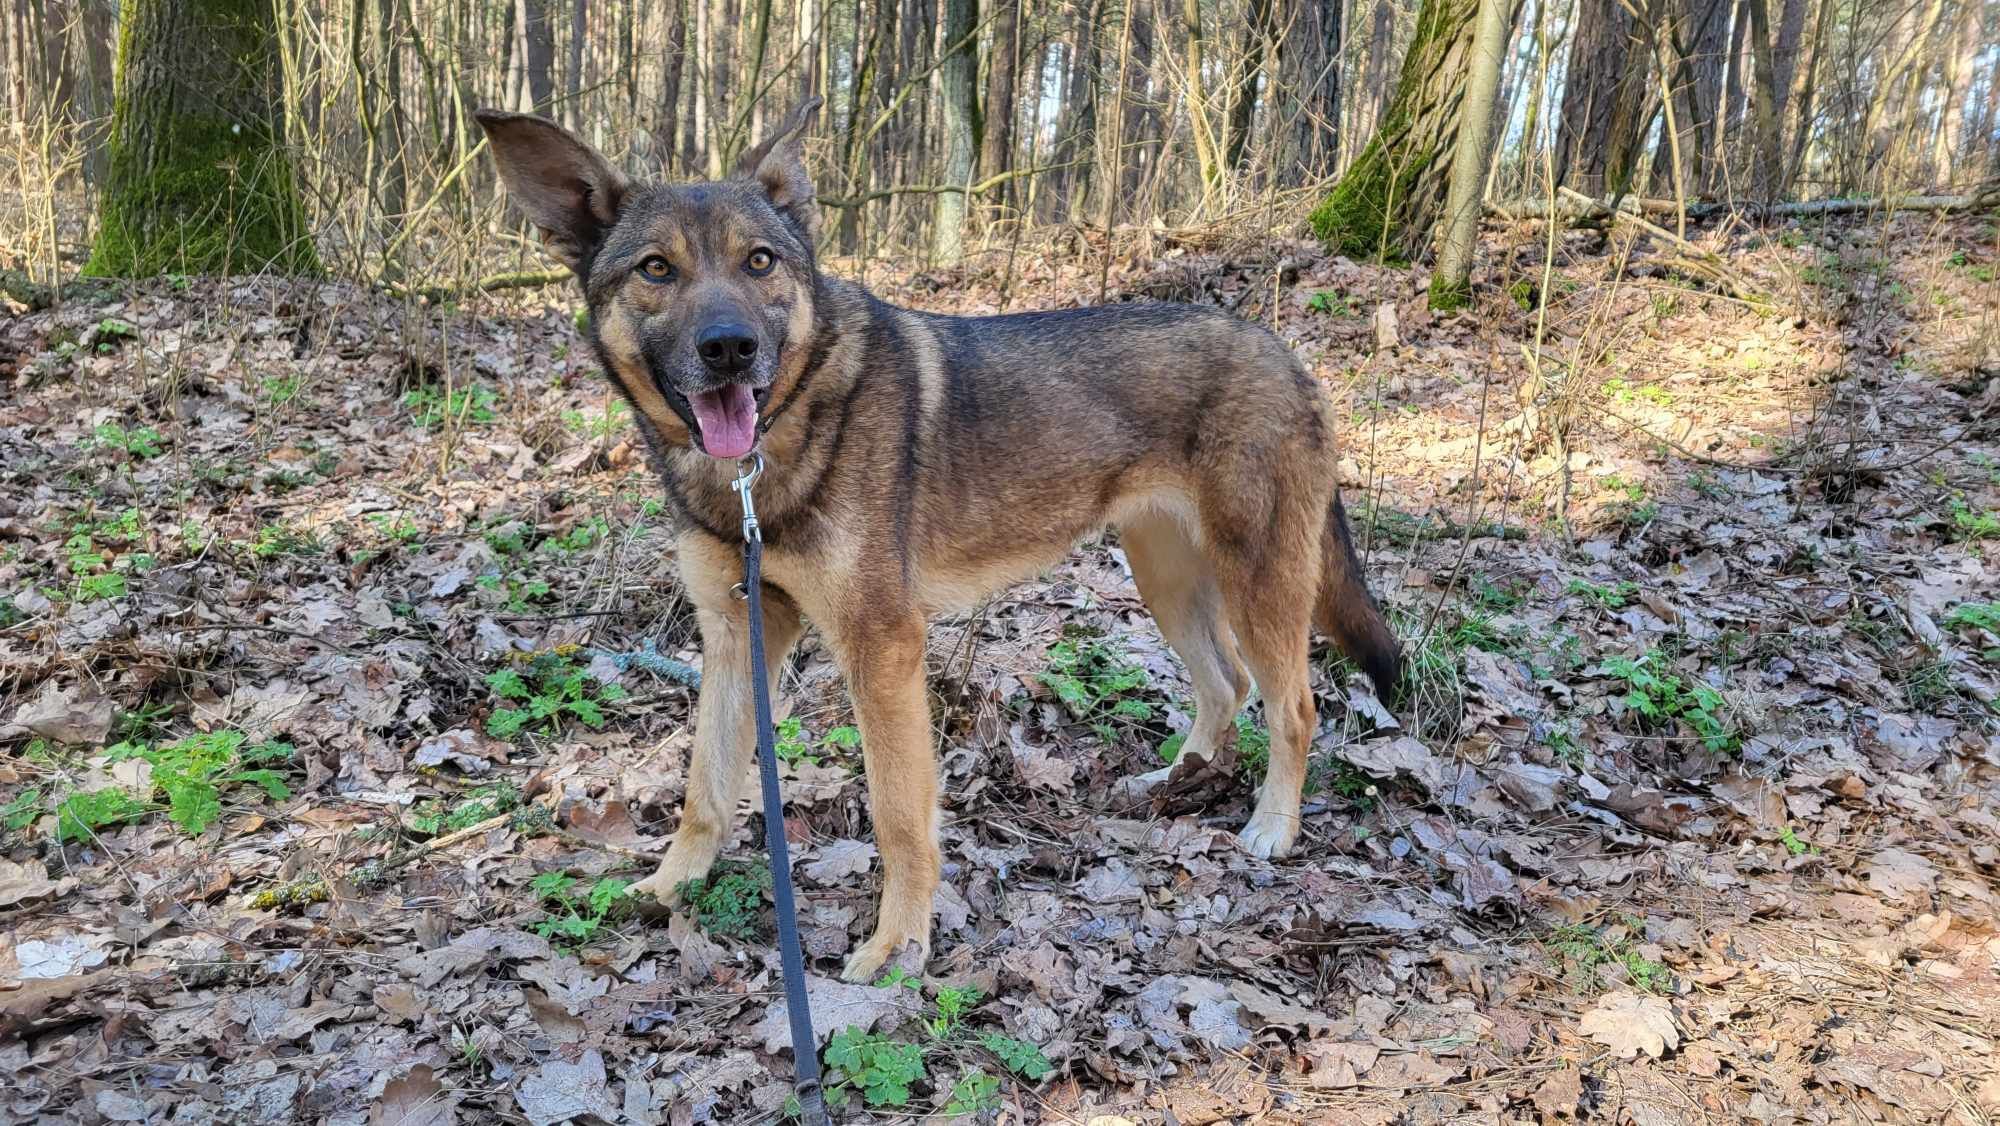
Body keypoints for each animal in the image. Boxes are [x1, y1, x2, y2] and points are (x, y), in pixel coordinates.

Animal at [474, 97, 1400, 984]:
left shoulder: (881, 648)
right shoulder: (739, 634)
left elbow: (897, 816)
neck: (772, 450)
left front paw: (899, 946)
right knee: (1225, 685)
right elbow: (706, 783)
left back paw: (1273, 827)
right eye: (656, 269)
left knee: (1294, 705)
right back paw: (1177, 779)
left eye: (760, 262)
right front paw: (672, 886)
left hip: (1257, 579)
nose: (729, 348)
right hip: (1164, 577)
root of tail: (1284, 352)